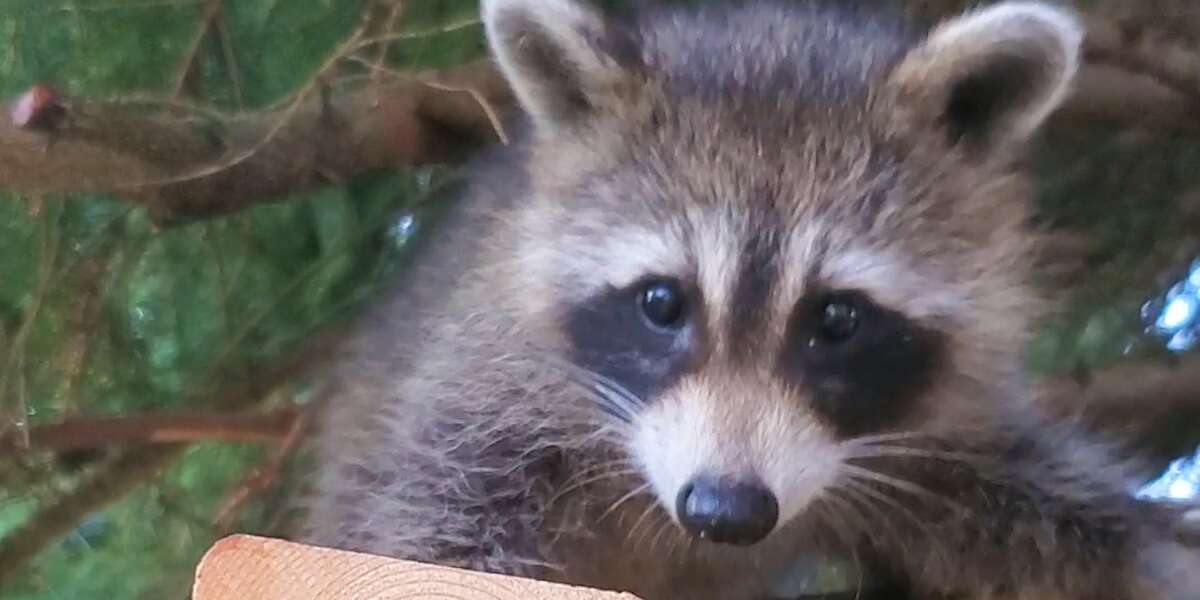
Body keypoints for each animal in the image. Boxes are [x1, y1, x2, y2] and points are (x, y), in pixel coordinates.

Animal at [295, 0, 1195, 597]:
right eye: (663, 303)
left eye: (838, 318)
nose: (725, 510)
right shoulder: (486, 397)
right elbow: (428, 530)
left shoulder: (939, 427)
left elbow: (1056, 512)